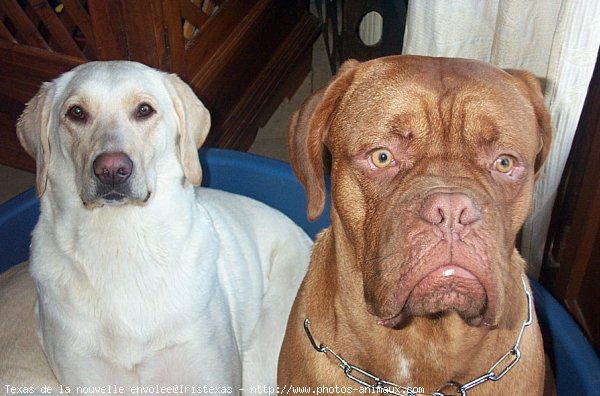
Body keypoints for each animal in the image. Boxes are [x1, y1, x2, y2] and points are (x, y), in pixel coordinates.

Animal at [14, 61, 312, 392]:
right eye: (76, 112)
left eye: (144, 110)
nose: (112, 170)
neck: (120, 242)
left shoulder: (209, 376)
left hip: (263, 357)